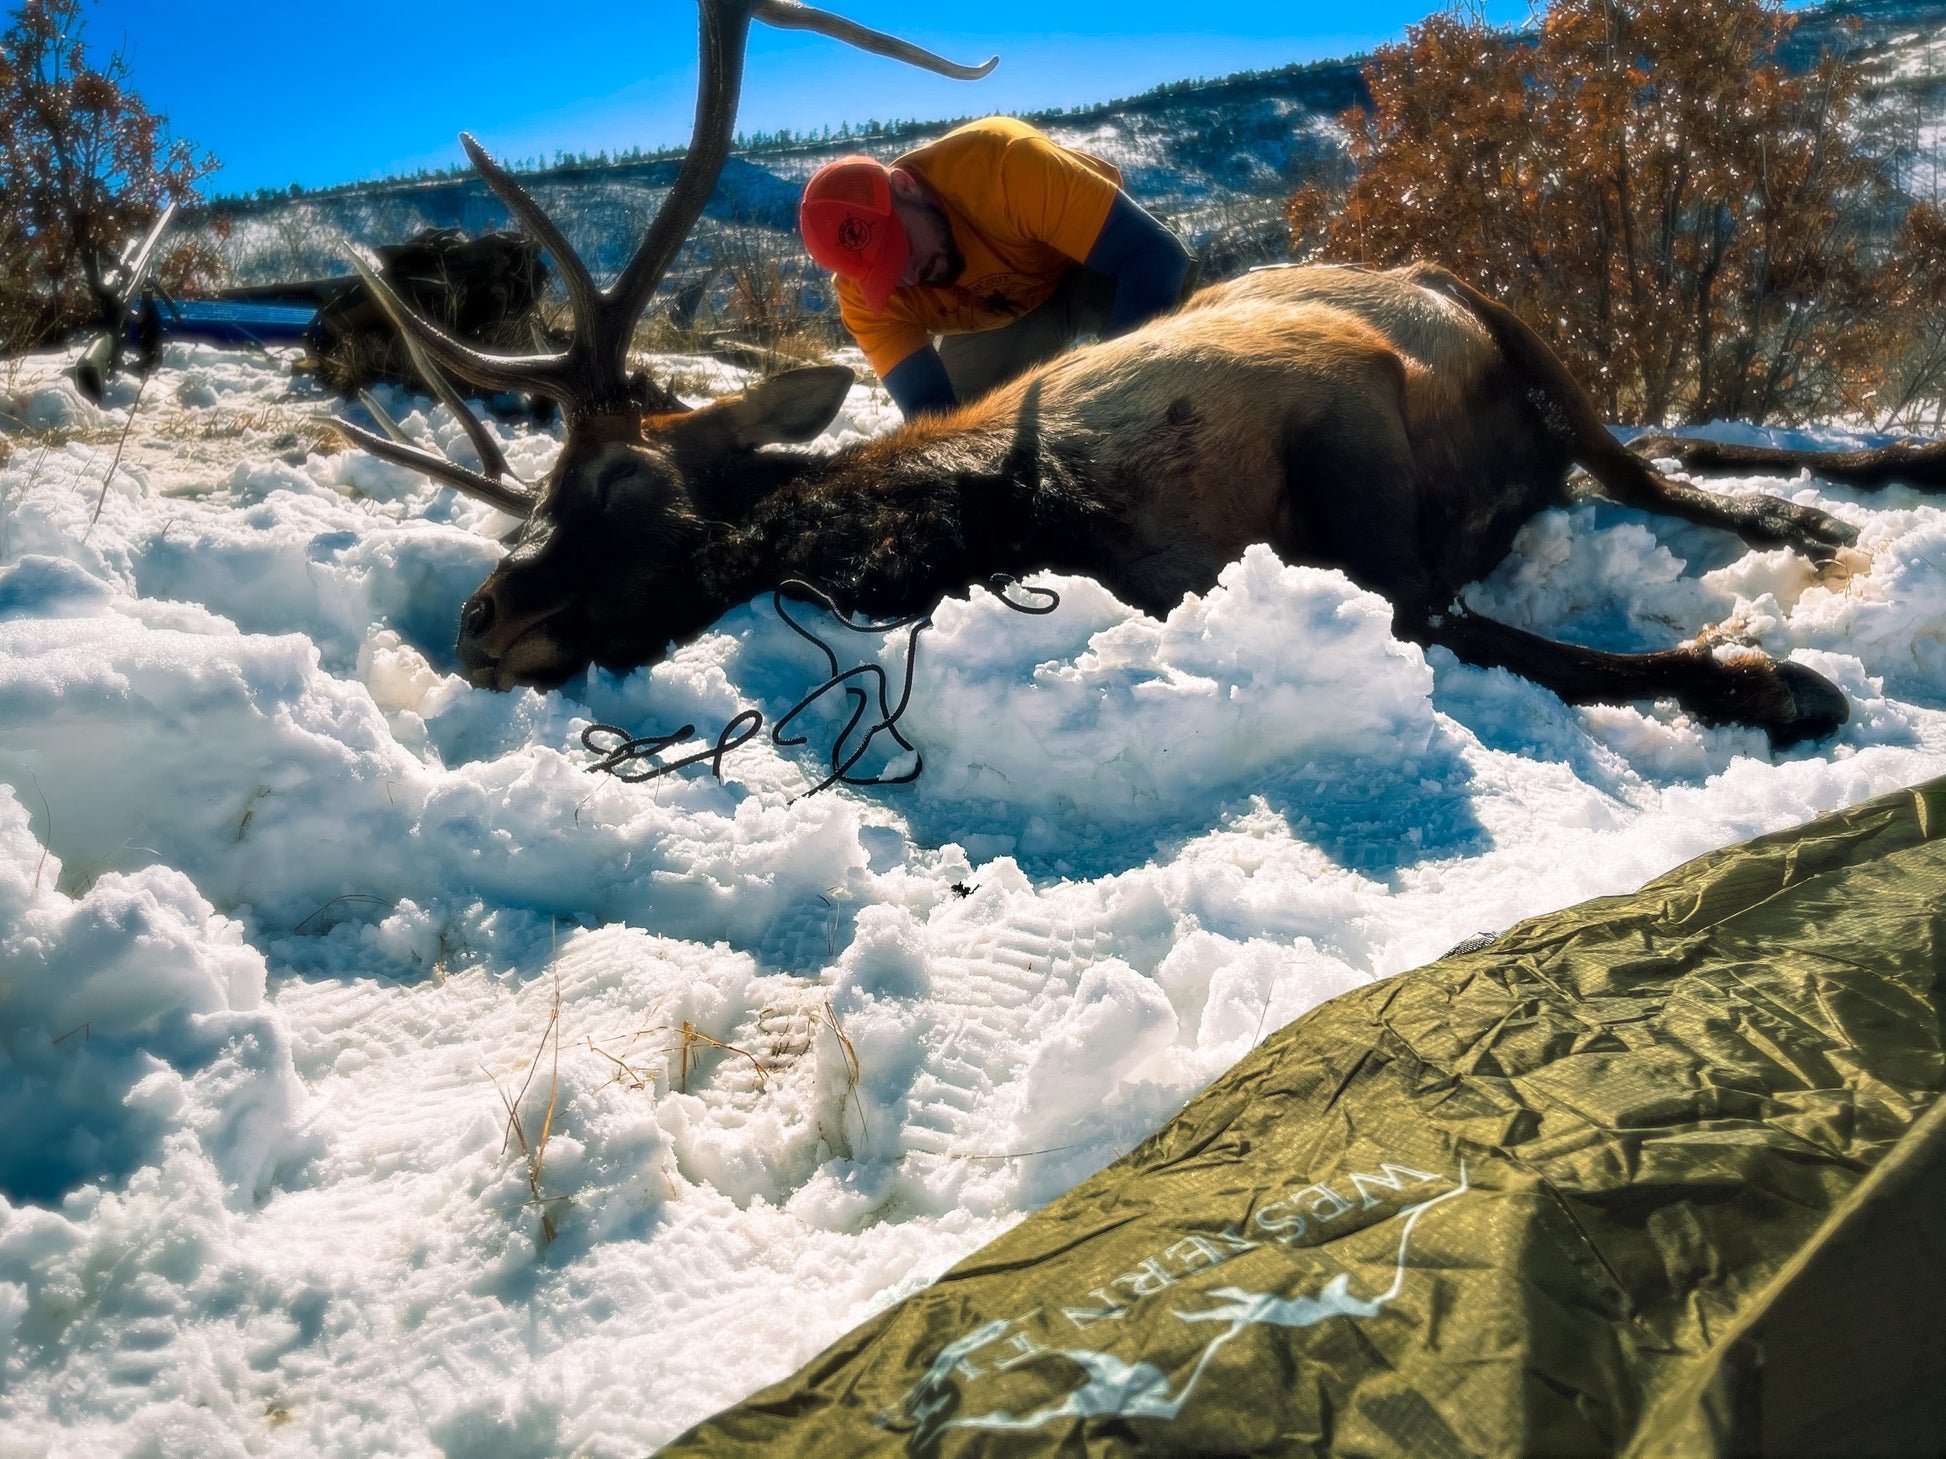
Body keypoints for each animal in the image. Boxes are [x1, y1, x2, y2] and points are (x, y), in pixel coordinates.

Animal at [335, 0, 1943, 755]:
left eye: (613, 478)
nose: (479, 620)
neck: (1019, 513)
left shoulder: (1335, 403)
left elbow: (1462, 621)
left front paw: (1775, 676)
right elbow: (1459, 621)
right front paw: (1758, 670)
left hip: (1518, 341)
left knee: (1664, 464)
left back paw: (1832, 517)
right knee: (1685, 452)